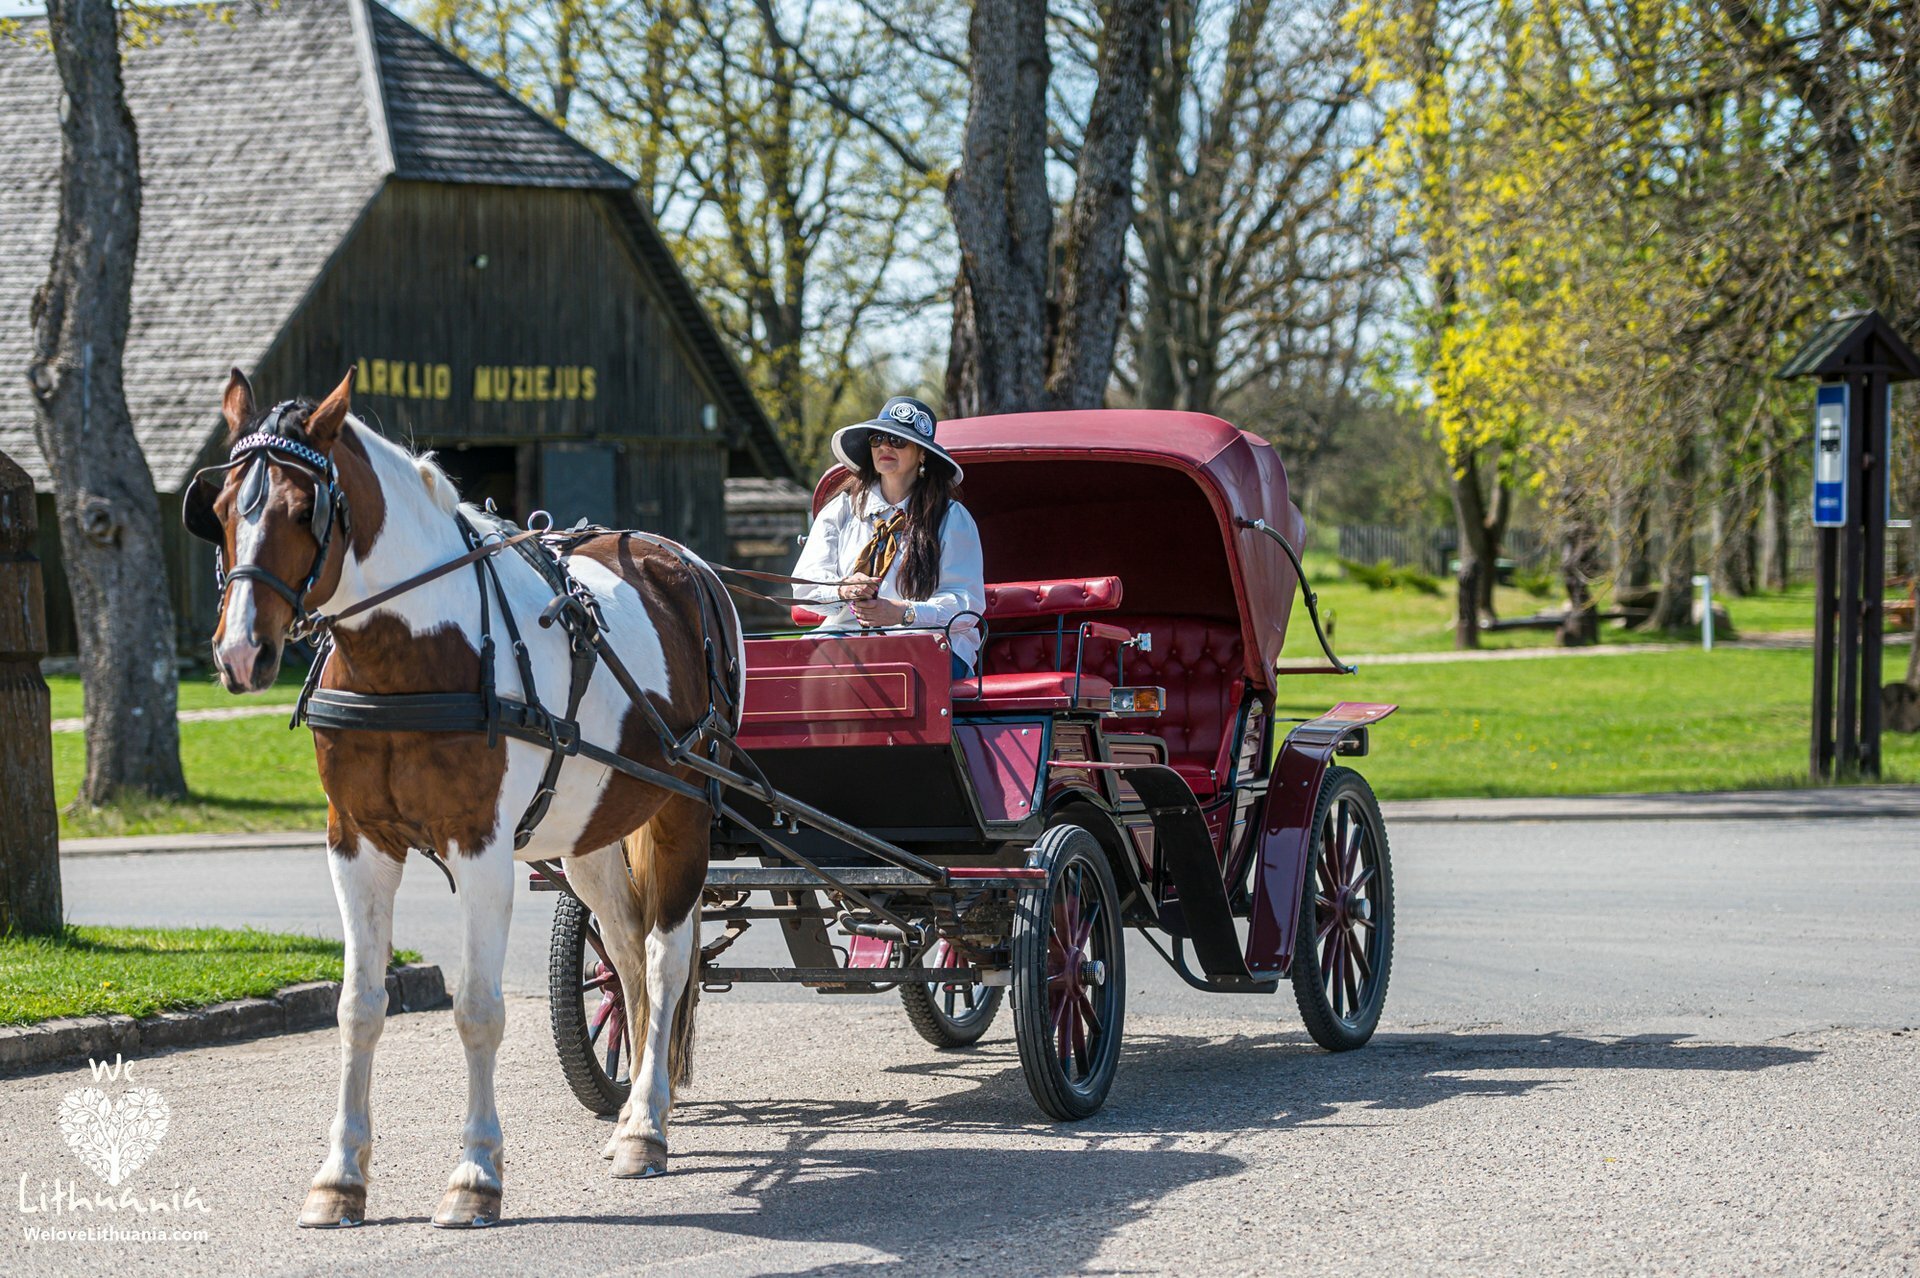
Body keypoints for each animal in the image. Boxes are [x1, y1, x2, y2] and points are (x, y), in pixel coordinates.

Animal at [194, 368, 733, 1228]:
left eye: (302, 509)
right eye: (217, 511)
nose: (242, 653)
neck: (413, 650)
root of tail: (676, 560)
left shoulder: (482, 851)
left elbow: (479, 1009)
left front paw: (476, 1174)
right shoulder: (355, 845)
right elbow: (359, 1006)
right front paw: (340, 1176)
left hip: (681, 809)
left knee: (665, 956)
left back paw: (648, 1126)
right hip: (589, 835)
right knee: (623, 957)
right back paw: (628, 1118)